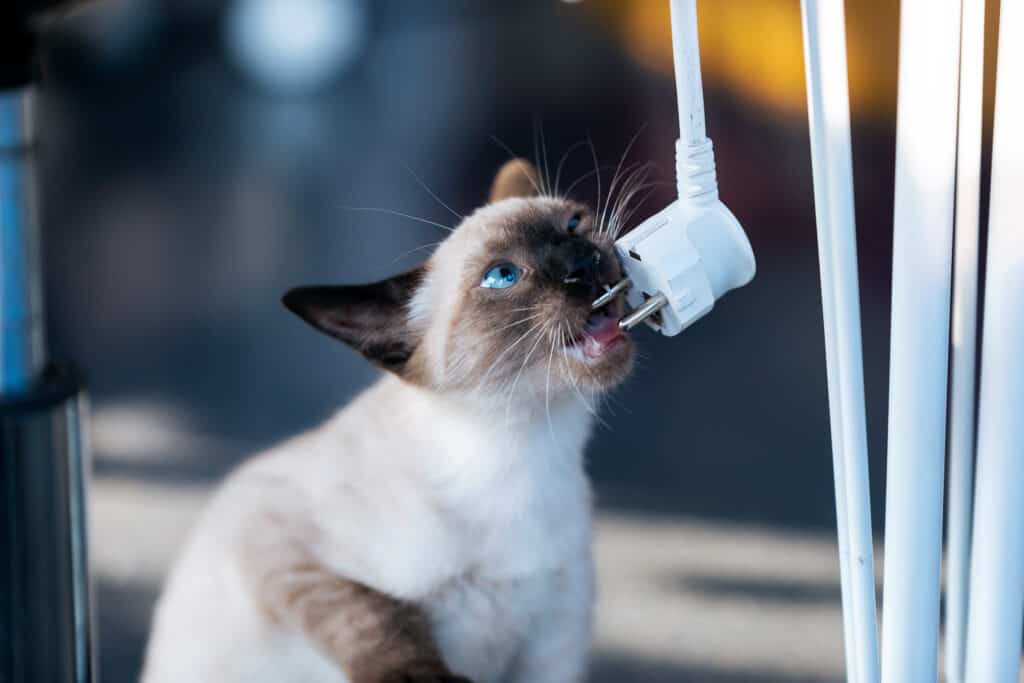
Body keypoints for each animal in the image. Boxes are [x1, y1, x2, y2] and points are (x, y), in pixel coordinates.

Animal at [136, 157, 630, 679]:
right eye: (503, 276)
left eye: (573, 224)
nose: (583, 264)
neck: (527, 448)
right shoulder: (272, 535)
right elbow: (371, 614)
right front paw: (424, 675)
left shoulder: (554, 646)